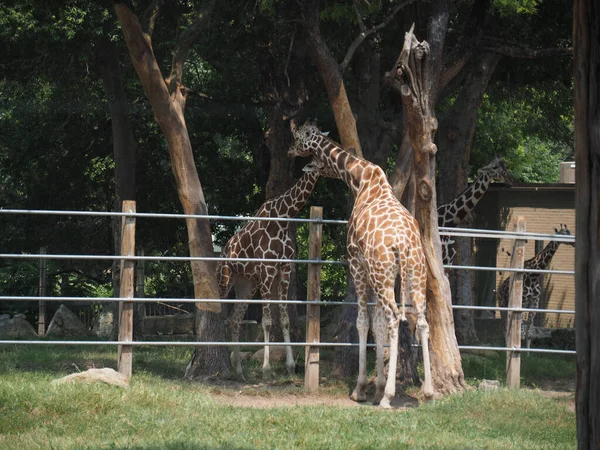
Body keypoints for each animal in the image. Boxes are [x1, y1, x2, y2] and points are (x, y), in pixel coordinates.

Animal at [220, 159, 330, 380]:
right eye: (319, 163)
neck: (283, 217)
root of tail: (224, 251)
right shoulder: (266, 269)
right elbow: (268, 322)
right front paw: (266, 369)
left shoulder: (284, 269)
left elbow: (285, 320)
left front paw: (290, 366)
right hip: (226, 278)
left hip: (246, 284)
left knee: (234, 320)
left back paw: (239, 371)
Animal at [290, 119, 434, 408]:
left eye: (299, 139)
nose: (290, 152)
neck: (361, 180)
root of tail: (403, 243)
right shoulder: (372, 270)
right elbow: (376, 324)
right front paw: (376, 387)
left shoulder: (355, 261)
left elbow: (363, 322)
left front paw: (362, 389)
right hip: (413, 272)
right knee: (421, 321)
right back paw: (428, 392)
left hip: (383, 274)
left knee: (395, 318)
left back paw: (389, 397)